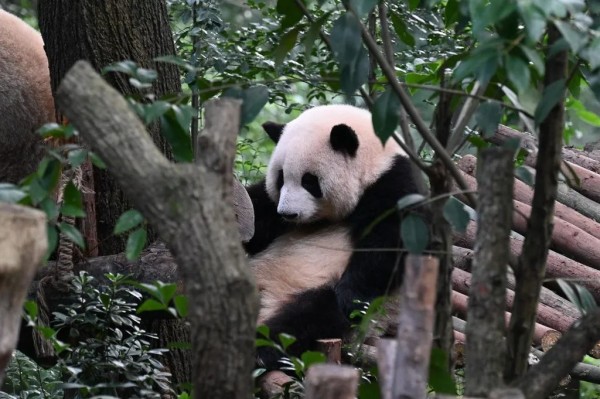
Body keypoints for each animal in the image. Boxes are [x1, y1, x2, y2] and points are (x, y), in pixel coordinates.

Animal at [244, 104, 422, 370]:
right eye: (280, 178)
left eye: (309, 181)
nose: (287, 213)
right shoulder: (269, 209)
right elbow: (255, 214)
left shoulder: (395, 184)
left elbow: (392, 243)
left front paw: (350, 295)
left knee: (311, 315)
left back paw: (262, 348)